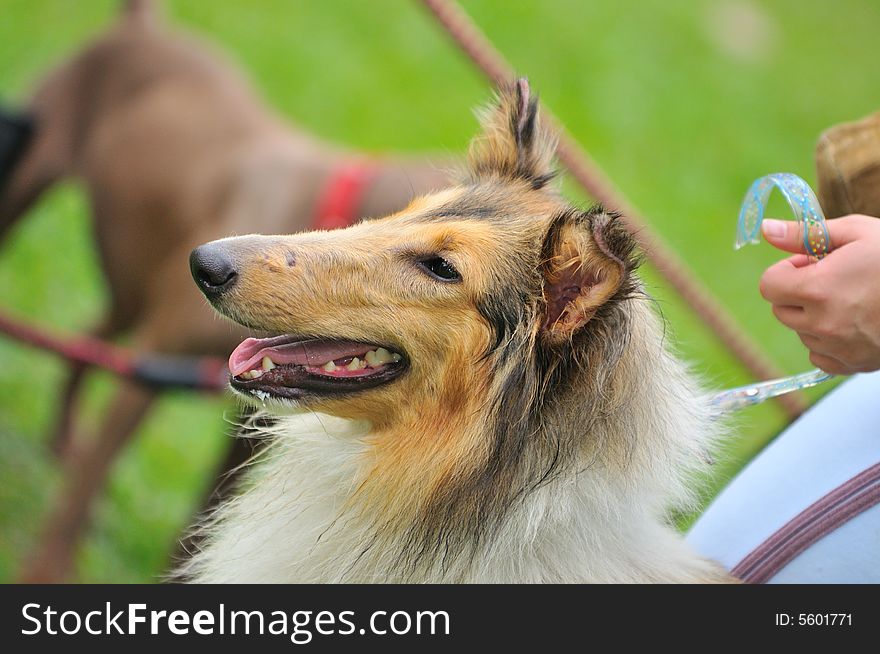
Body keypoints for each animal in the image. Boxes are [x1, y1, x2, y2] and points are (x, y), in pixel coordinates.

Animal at [1, 0, 446, 584]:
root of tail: (142, 26)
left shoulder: (255, 418)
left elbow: (205, 514)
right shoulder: (153, 369)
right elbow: (85, 490)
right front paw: (46, 572)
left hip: (131, 289)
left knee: (87, 337)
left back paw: (59, 444)